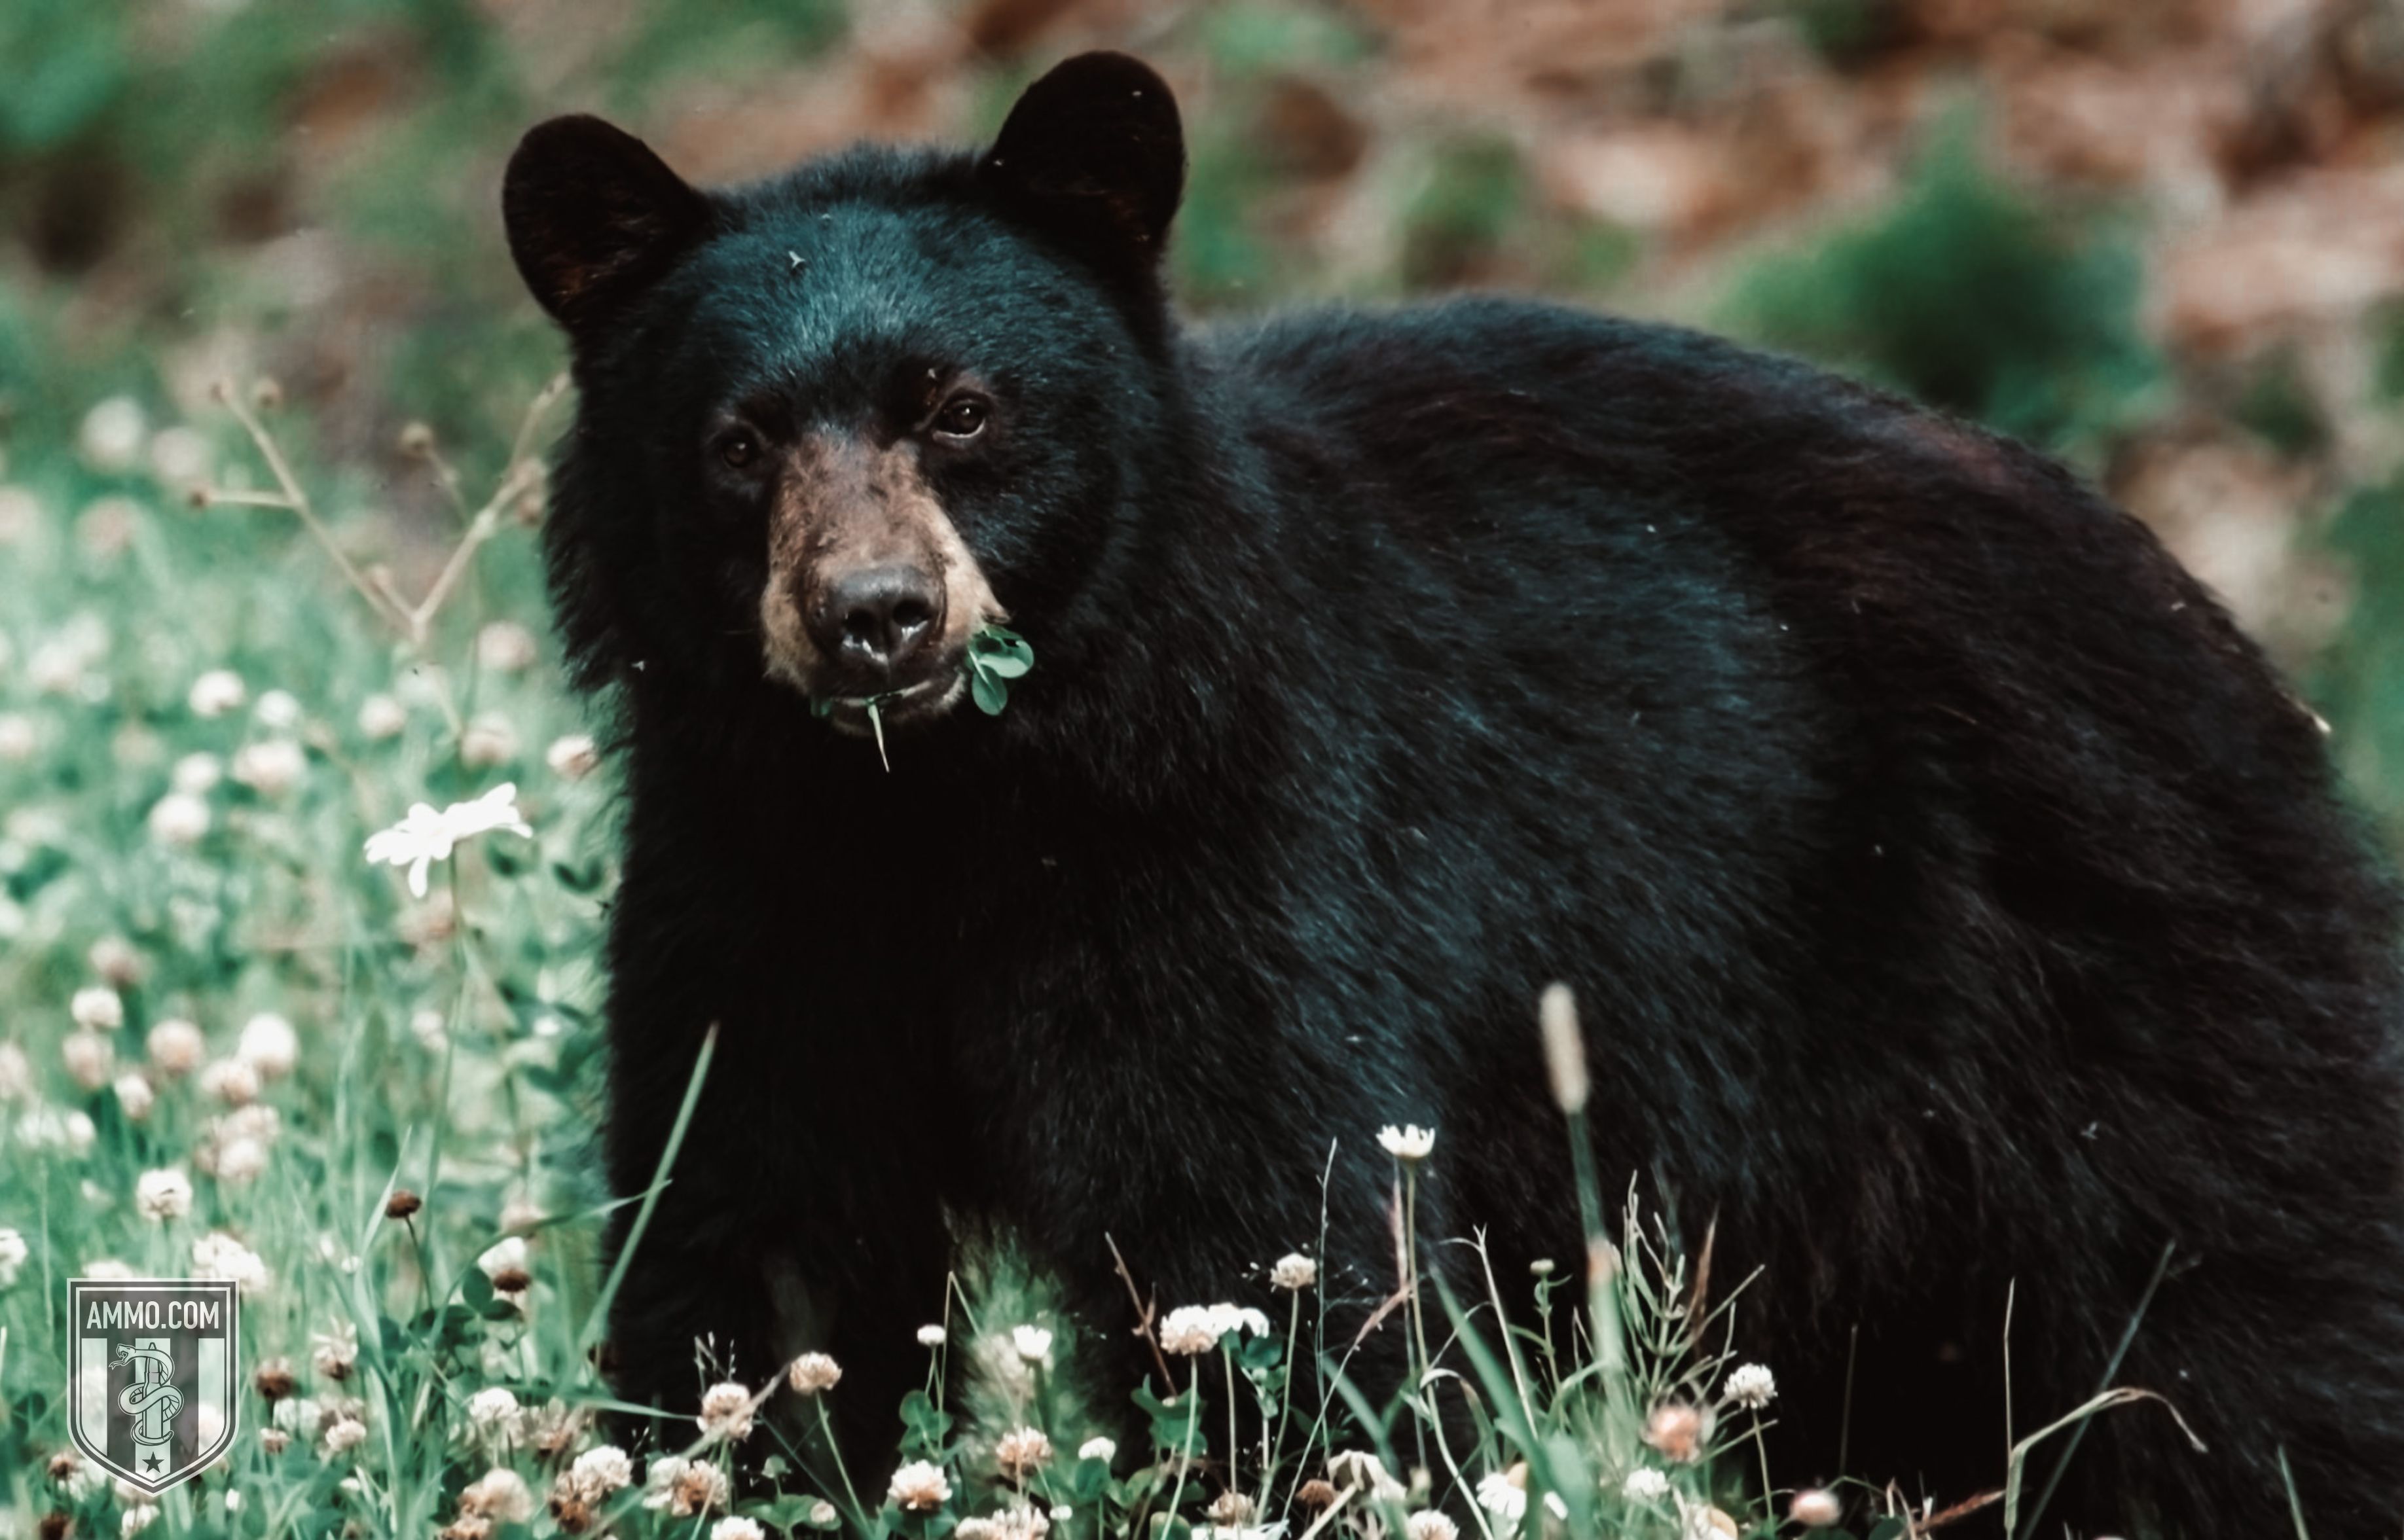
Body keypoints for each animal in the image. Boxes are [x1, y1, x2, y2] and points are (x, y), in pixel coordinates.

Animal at [502, 51, 2404, 1537]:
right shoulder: (752, 873)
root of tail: (2236, 657)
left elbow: (1273, 1239)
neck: (946, 806)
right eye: (738, 443)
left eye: (961, 410)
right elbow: (756, 1227)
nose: (875, 618)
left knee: (2255, 1334)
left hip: (2118, 991)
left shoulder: (1246, 845)